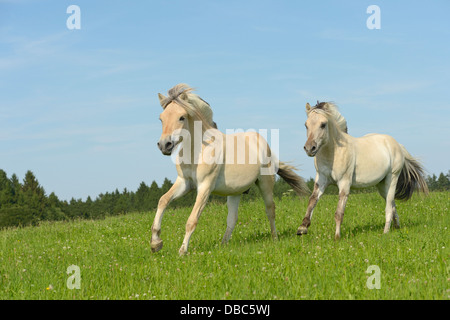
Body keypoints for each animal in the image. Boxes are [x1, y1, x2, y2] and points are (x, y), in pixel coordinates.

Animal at [151, 83, 310, 255]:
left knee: (270, 210)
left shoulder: (205, 186)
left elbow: (192, 220)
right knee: (232, 219)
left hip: (265, 184)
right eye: (161, 118)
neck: (198, 150)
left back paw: (274, 238)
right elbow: (163, 201)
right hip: (235, 192)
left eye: (181, 117)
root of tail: (263, 144)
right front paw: (155, 243)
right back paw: (223, 245)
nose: (164, 145)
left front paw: (182, 251)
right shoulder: (184, 183)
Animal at [298, 101, 428, 239]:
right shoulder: (321, 180)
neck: (334, 153)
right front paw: (302, 228)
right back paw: (396, 227)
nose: (309, 148)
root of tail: (397, 145)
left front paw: (337, 237)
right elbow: (312, 201)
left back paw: (385, 231)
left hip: (392, 178)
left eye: (323, 124)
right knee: (392, 204)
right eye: (306, 125)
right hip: (382, 185)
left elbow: (339, 212)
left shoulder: (344, 183)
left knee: (388, 206)